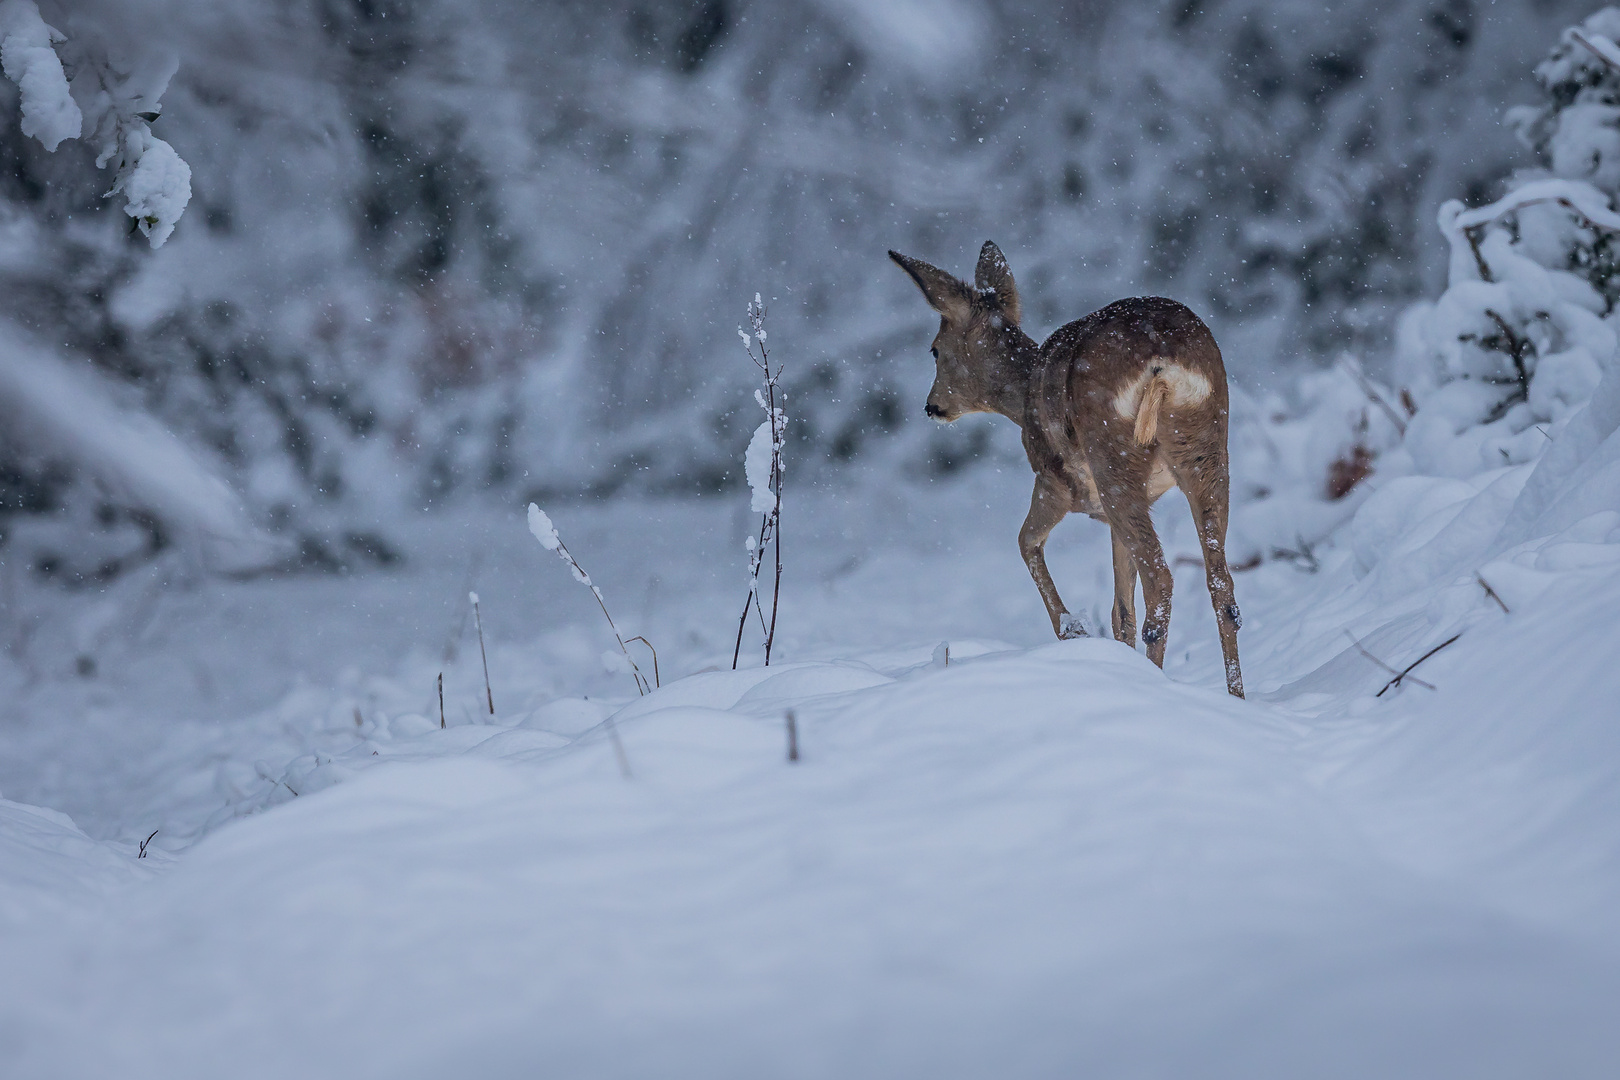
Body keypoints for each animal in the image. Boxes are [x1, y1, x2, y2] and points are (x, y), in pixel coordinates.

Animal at [894, 241, 1244, 702]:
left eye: (935, 348)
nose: (931, 405)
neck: (1023, 397)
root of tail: (1163, 361)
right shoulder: (1119, 511)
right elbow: (1120, 611)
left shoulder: (1055, 482)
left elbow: (1025, 542)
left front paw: (1072, 629)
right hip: (1207, 451)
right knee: (1221, 585)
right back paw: (1237, 698)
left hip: (1111, 457)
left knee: (1162, 580)